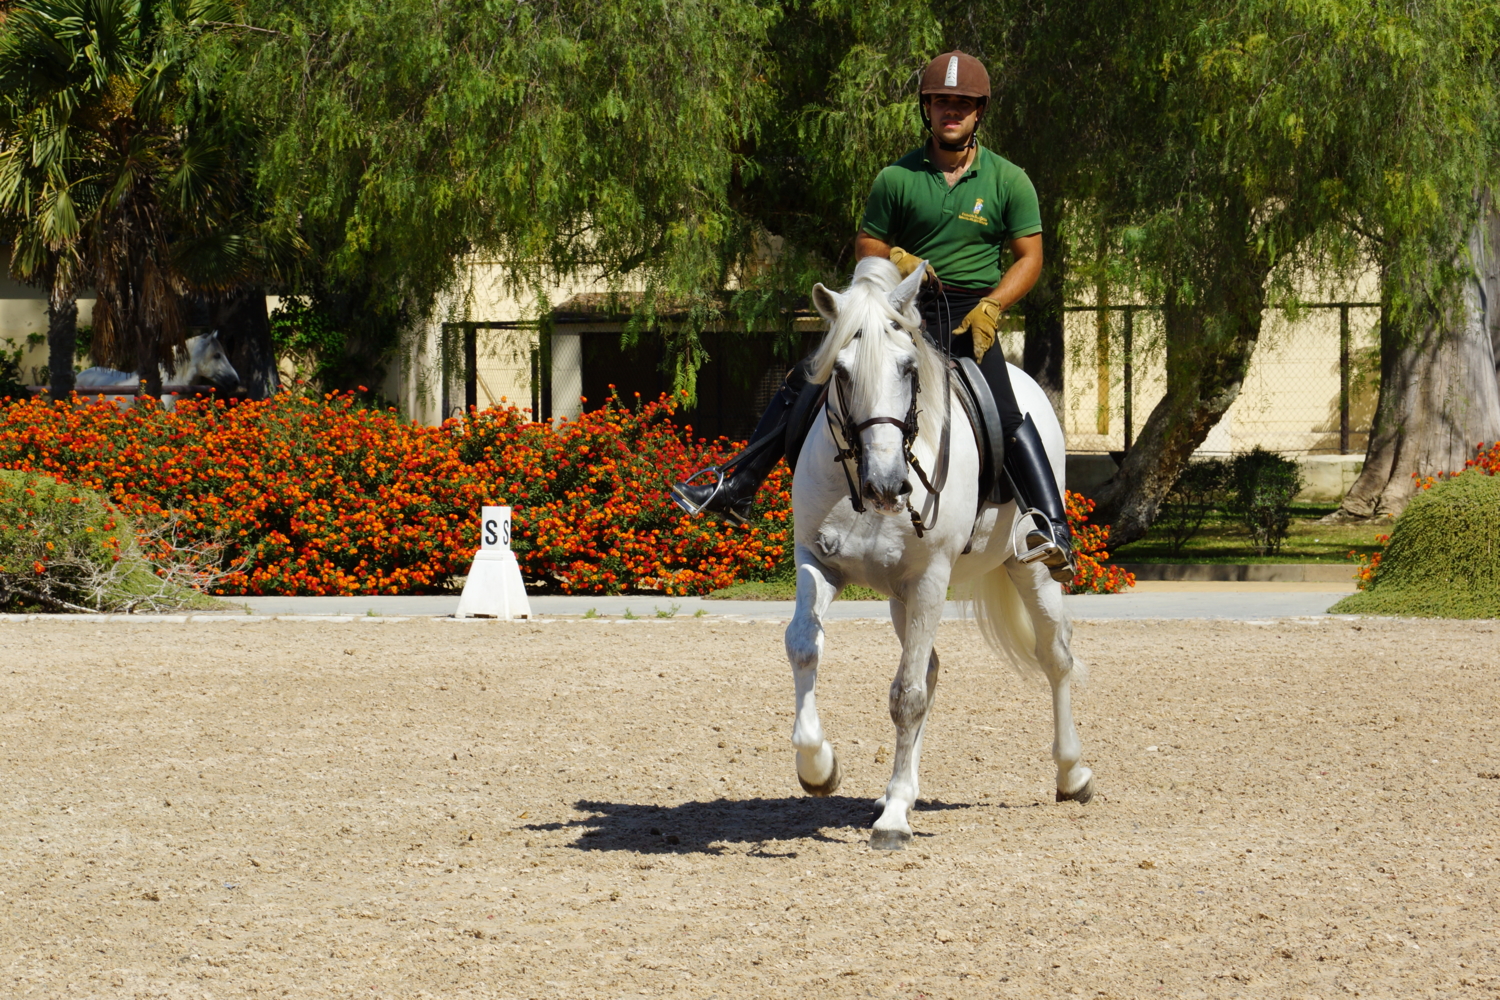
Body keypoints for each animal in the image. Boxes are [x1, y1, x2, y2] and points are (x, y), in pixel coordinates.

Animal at [786, 256, 1092, 851]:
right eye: (841, 372)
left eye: (909, 369)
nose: (887, 485)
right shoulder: (817, 561)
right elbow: (805, 646)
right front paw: (819, 768)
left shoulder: (931, 577)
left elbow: (906, 695)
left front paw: (893, 821)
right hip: (900, 596)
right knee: (928, 668)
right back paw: (900, 789)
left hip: (1029, 572)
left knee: (1056, 657)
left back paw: (1072, 774)